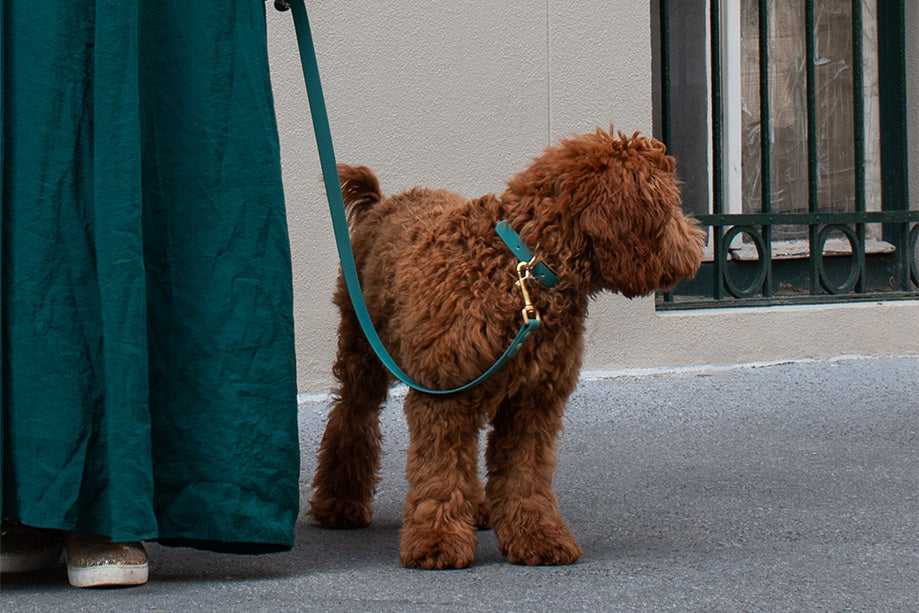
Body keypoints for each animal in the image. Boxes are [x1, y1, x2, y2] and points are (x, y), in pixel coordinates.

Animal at [310, 128, 704, 568]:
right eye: (668, 205)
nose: (697, 246)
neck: (523, 271)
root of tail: (383, 203)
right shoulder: (444, 397)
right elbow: (441, 470)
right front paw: (437, 540)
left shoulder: (533, 402)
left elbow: (524, 473)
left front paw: (537, 535)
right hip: (363, 350)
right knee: (351, 419)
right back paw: (339, 504)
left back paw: (477, 508)